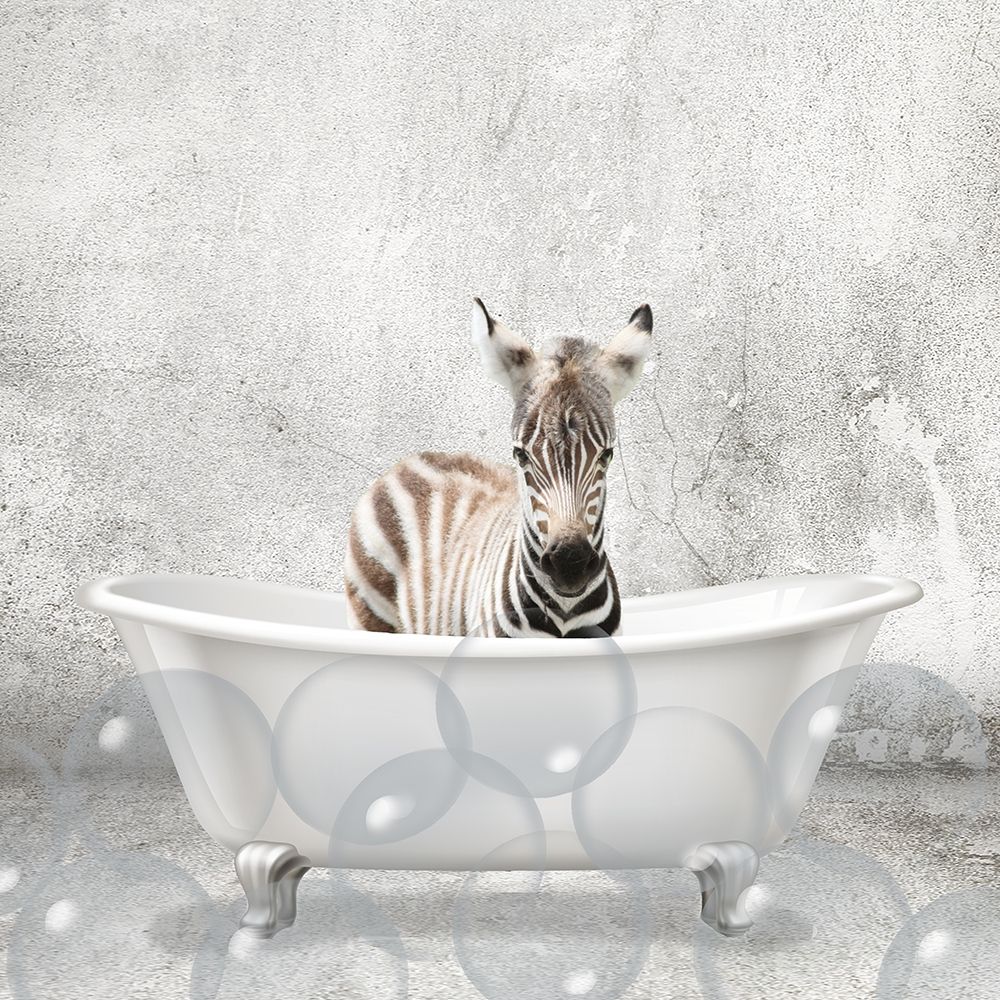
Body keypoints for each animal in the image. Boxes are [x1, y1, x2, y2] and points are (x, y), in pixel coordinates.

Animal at [344, 297, 653, 638]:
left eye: (606, 455)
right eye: (520, 455)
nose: (569, 564)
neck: (565, 612)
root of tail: (409, 459)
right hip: (370, 613)